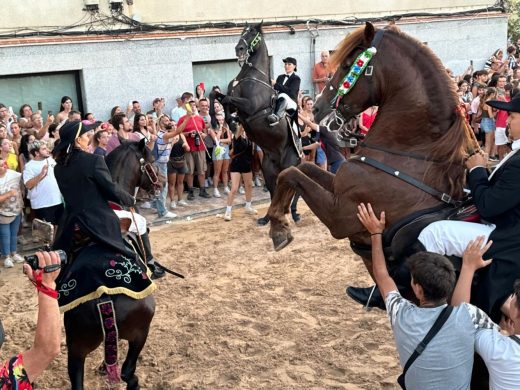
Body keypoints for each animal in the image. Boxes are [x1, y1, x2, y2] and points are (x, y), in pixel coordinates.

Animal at [62, 139, 156, 388]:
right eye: (151, 161)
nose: (158, 184)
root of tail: (103, 294)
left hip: (76, 348)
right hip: (139, 333)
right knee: (127, 370)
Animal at [214, 22, 300, 225]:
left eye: (253, 34)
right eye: (242, 32)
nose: (239, 49)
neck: (252, 75)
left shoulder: (250, 106)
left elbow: (228, 98)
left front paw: (232, 121)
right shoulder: (234, 101)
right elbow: (222, 98)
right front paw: (232, 122)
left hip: (288, 168)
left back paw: (290, 214)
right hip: (268, 169)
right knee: (274, 191)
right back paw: (269, 217)